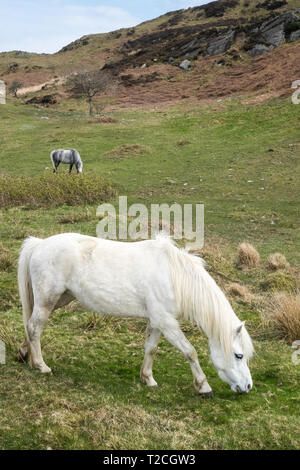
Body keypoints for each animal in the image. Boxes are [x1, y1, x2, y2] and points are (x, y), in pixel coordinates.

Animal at [18, 233, 253, 394]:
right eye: (238, 355)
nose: (248, 386)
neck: (174, 276)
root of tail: (39, 243)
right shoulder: (167, 323)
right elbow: (190, 351)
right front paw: (203, 386)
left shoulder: (157, 322)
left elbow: (151, 349)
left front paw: (148, 378)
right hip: (48, 300)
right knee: (34, 327)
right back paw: (41, 365)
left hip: (60, 299)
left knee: (30, 326)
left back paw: (24, 354)